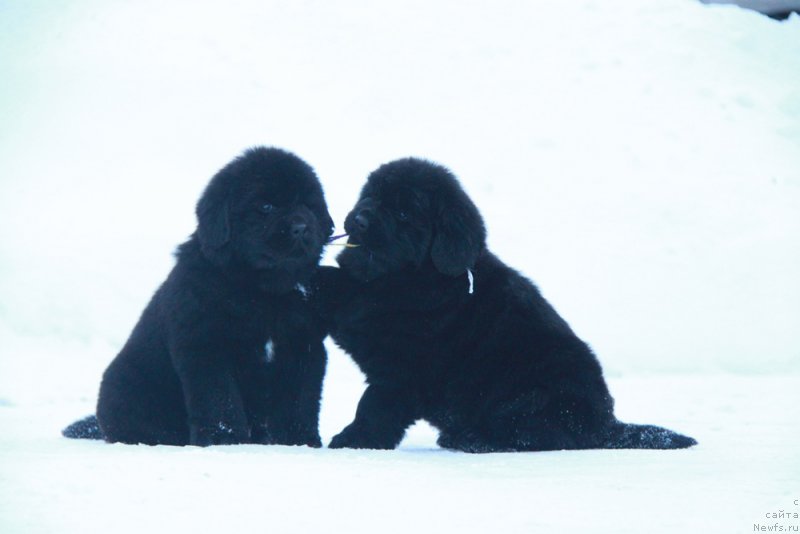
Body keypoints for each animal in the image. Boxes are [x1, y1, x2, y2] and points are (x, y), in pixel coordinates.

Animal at [61, 148, 332, 448]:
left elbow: (300, 401)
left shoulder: (303, 347)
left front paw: (301, 442)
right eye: (266, 207)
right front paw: (224, 441)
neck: (261, 292)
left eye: (308, 205)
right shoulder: (206, 346)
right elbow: (221, 400)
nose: (301, 227)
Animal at [316, 158, 696, 452]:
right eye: (370, 195)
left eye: (403, 212)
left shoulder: (403, 367)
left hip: (533, 396)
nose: (359, 219)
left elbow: (374, 406)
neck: (419, 276)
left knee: (539, 436)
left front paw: (351, 441)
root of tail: (607, 425)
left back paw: (471, 439)